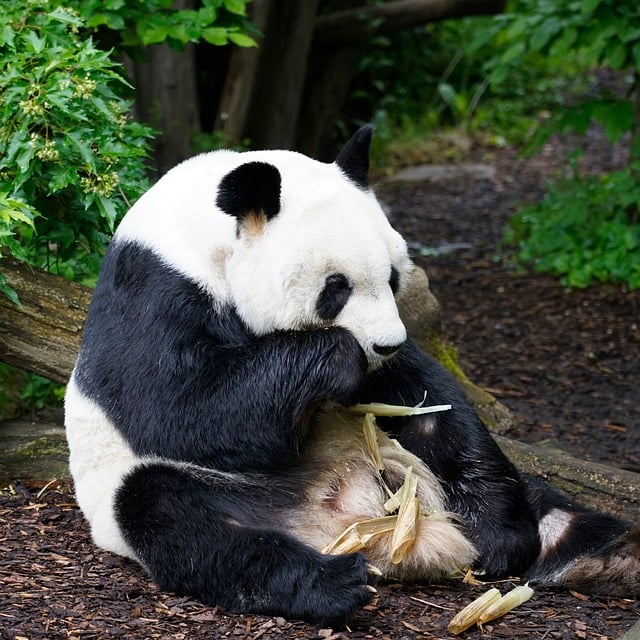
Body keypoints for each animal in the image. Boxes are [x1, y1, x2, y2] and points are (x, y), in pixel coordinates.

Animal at [63, 126, 640, 624]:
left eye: (393, 276)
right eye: (335, 287)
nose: (384, 343)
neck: (200, 235)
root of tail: (335, 521)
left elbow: (430, 405)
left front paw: (496, 534)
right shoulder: (154, 291)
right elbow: (176, 409)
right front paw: (334, 357)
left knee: (546, 504)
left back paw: (610, 556)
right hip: (155, 490)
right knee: (183, 521)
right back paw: (331, 584)